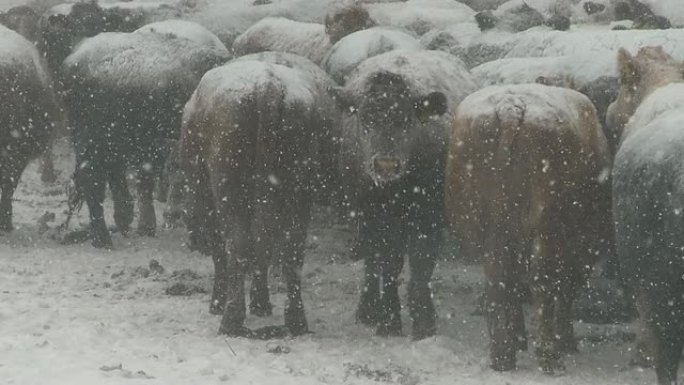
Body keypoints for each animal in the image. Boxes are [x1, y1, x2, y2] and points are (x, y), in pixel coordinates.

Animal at [446, 83, 612, 372]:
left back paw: (502, 352)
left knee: (498, 278)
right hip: (544, 227)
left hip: (489, 227)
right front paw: (565, 340)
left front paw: (520, 337)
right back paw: (548, 356)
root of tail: (510, 106)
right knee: (540, 280)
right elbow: (564, 290)